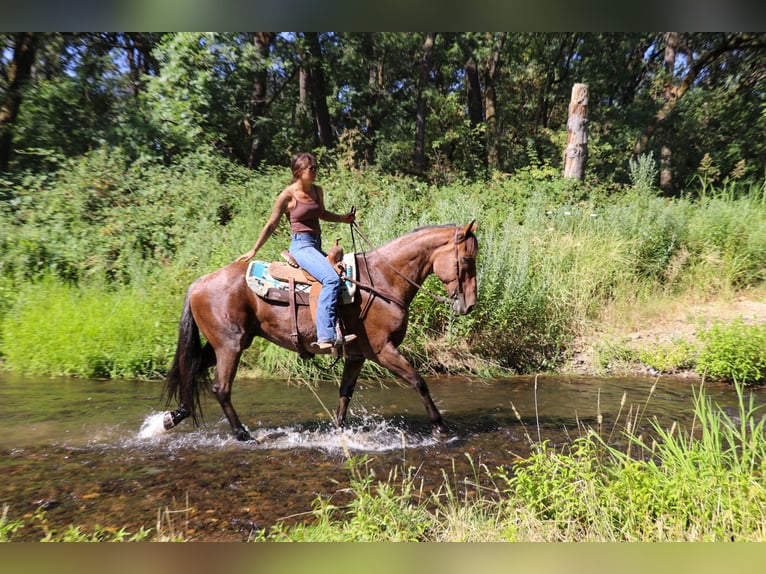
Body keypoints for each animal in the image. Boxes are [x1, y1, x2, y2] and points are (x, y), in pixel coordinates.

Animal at [164, 223, 480, 444]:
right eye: (466, 260)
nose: (470, 304)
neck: (383, 280)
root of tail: (201, 282)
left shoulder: (357, 355)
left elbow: (345, 393)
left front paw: (338, 430)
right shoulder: (383, 350)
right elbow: (419, 382)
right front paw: (440, 427)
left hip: (223, 343)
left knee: (192, 369)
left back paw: (174, 416)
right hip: (230, 346)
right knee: (221, 388)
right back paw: (242, 434)